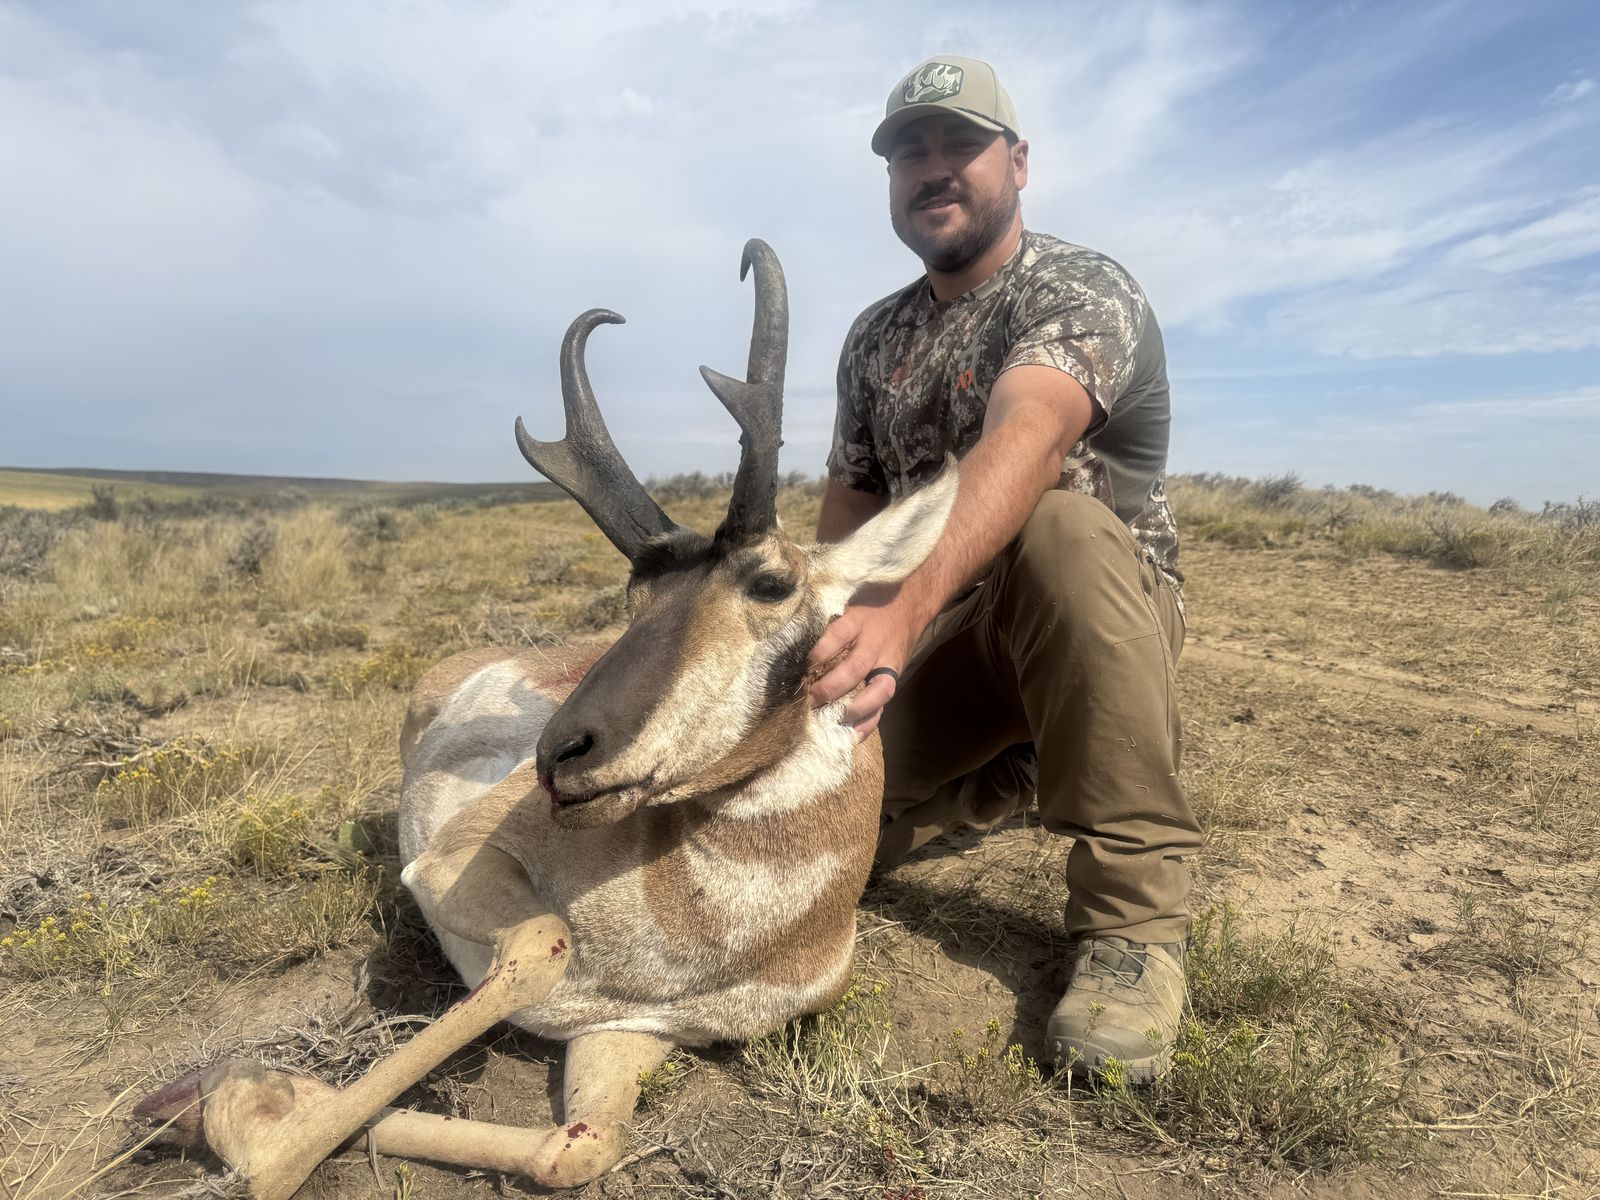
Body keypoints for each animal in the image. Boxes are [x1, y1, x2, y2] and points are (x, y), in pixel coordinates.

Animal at [135, 239, 957, 1197]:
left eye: (769, 581)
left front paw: (260, 1103)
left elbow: (577, 1148)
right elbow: (543, 940)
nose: (558, 754)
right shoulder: (457, 869)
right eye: (635, 596)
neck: (720, 922)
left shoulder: (628, 1033)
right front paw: (232, 1107)